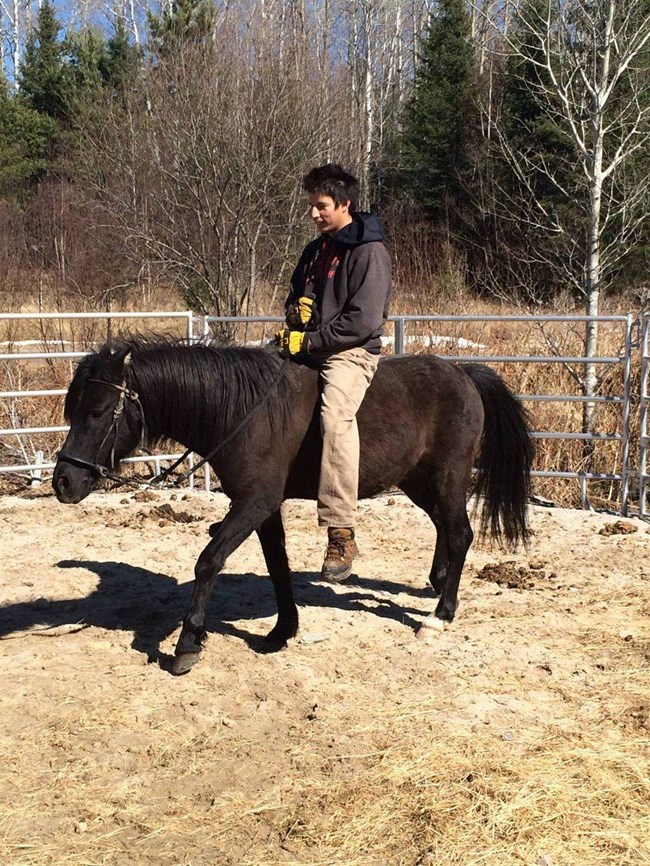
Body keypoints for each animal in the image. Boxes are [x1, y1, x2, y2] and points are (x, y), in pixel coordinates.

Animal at [53, 338, 532, 676]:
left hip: (447, 477)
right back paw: (437, 582)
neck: (241, 411)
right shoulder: (264, 508)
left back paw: (441, 614)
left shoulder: (253, 502)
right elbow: (277, 566)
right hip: (418, 481)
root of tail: (462, 372)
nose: (63, 482)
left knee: (460, 533)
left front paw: (188, 643)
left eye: (97, 412)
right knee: (444, 528)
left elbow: (209, 561)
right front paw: (283, 631)